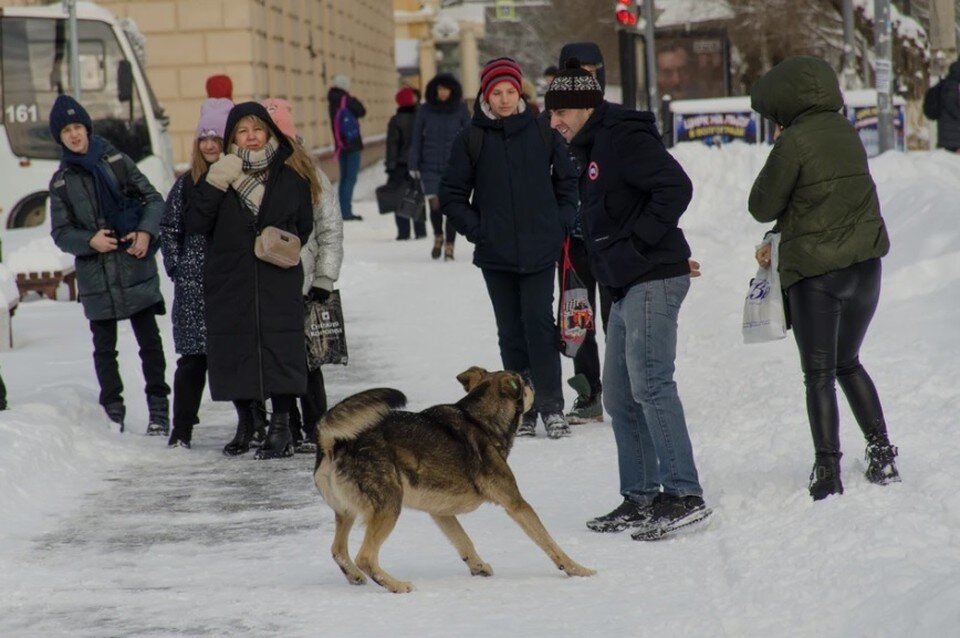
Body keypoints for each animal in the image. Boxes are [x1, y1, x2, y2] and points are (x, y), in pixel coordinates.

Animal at [316, 368, 596, 596]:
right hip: (388, 507)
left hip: (347, 512)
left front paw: (478, 567)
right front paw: (578, 570)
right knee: (365, 556)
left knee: (338, 550)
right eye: (522, 383)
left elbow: (464, 541)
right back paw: (396, 585)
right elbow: (549, 543)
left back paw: (355, 576)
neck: (480, 419)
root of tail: (334, 443)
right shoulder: (516, 504)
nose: (530, 380)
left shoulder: (441, 512)